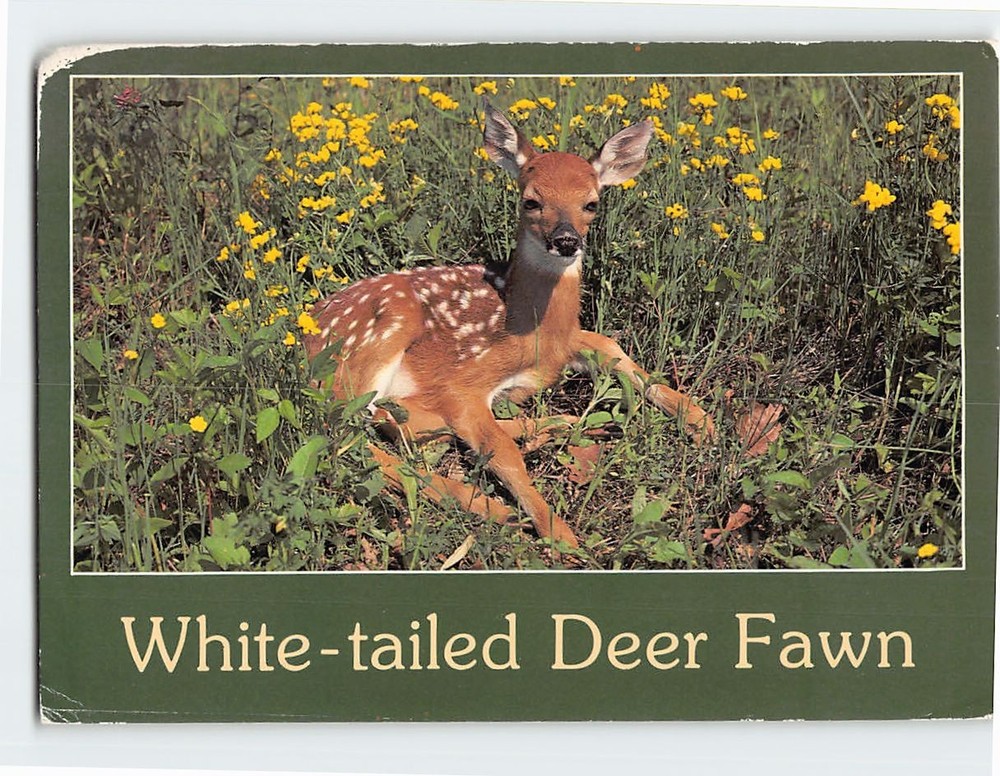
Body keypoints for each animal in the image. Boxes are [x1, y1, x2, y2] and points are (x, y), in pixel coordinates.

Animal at [303, 100, 714, 550]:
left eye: (591, 203)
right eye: (531, 201)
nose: (566, 241)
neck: (529, 329)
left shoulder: (571, 341)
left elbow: (615, 350)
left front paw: (705, 424)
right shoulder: (460, 383)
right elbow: (504, 454)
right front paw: (559, 533)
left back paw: (563, 426)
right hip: (378, 336)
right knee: (348, 437)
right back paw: (493, 505)